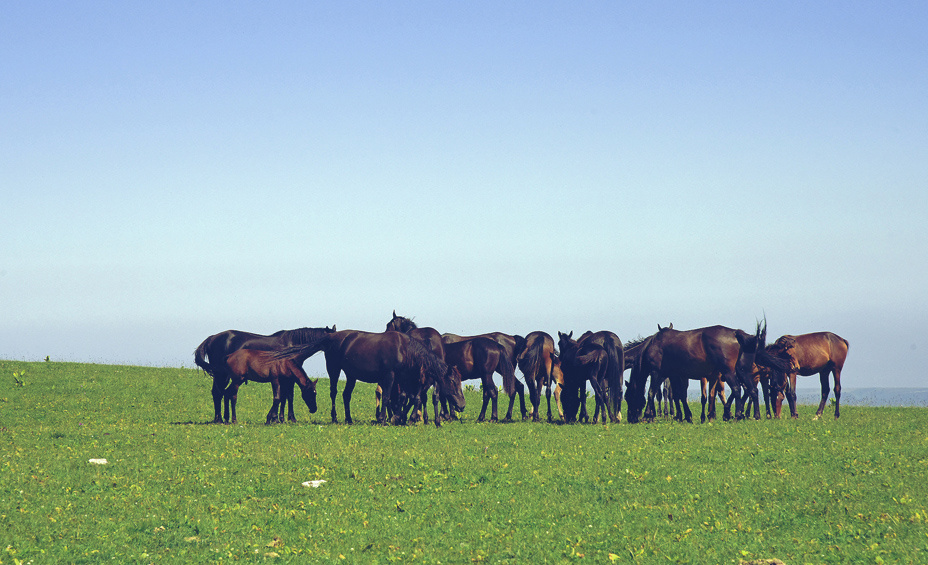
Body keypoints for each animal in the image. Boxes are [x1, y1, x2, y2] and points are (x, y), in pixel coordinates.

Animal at [194, 324, 336, 420]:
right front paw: (288, 418)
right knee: (218, 393)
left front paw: (279, 418)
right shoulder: (289, 378)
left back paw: (221, 418)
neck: (293, 345)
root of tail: (212, 338)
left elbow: (283, 396)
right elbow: (288, 396)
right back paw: (220, 419)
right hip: (222, 375)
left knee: (218, 392)